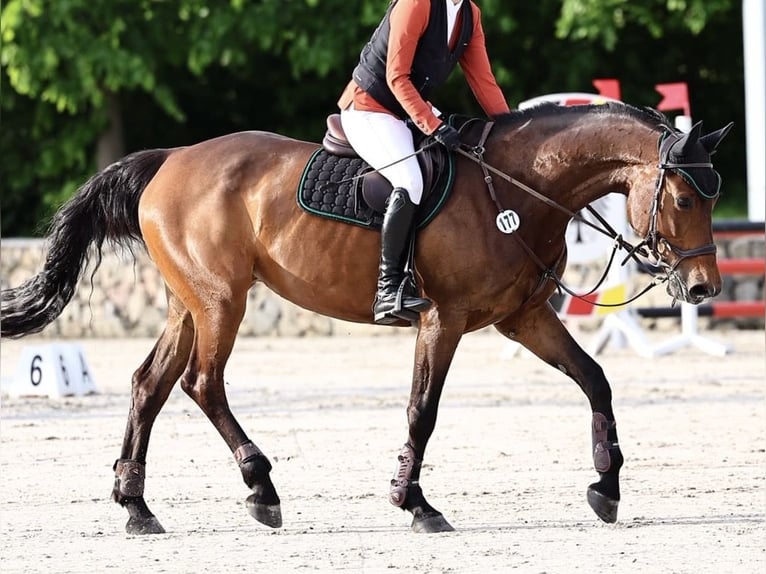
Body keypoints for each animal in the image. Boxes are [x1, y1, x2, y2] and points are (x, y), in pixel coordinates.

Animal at [0, 102, 732, 535]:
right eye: (686, 198)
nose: (702, 288)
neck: (518, 188)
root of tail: (169, 160)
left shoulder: (523, 318)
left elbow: (596, 380)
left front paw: (605, 485)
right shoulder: (446, 320)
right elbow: (422, 411)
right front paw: (416, 503)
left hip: (191, 304)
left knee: (149, 385)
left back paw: (137, 507)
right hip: (221, 303)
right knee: (201, 384)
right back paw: (261, 488)